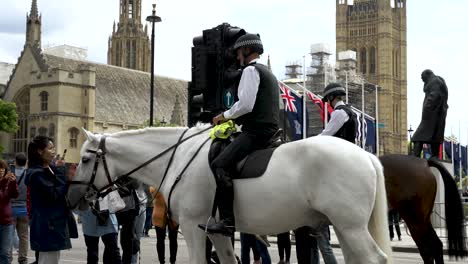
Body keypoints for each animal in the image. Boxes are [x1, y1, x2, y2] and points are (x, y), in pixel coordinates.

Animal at [67, 125, 394, 262]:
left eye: (85, 159)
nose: (72, 199)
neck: (178, 155)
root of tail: (366, 155)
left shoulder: (192, 227)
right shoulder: (217, 232)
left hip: (350, 227)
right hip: (345, 227)